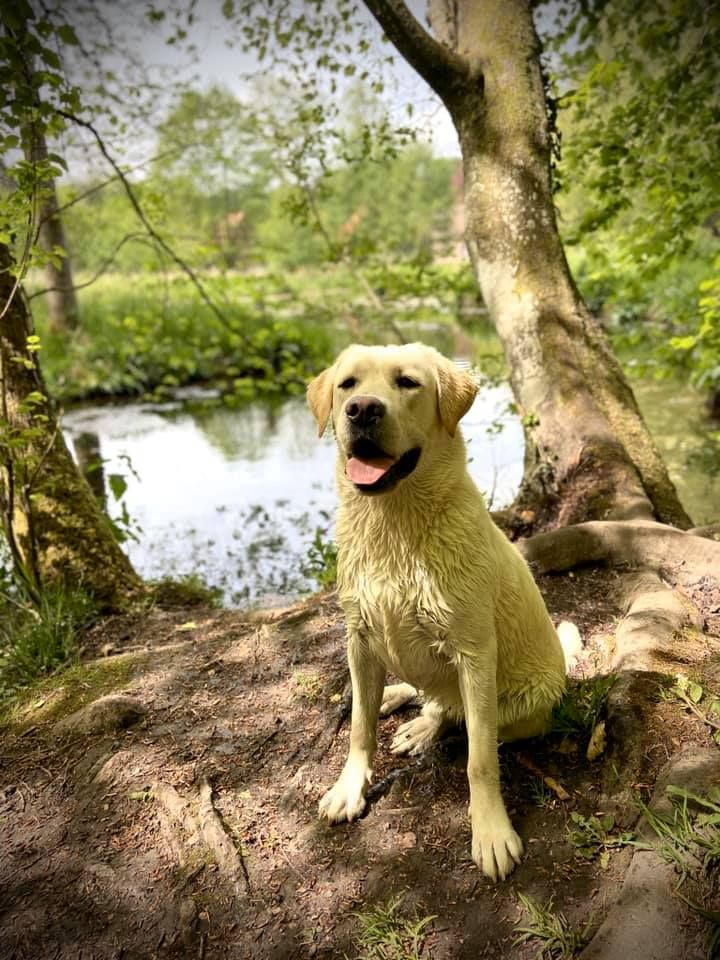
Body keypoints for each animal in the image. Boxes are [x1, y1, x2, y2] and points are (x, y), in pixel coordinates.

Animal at [306, 344, 580, 884]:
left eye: (407, 383)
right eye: (348, 385)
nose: (362, 410)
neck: (392, 523)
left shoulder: (472, 652)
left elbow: (479, 758)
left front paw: (491, 831)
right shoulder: (359, 637)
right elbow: (359, 730)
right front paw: (350, 788)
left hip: (518, 701)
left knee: (452, 711)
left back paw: (423, 725)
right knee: (419, 693)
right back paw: (396, 699)